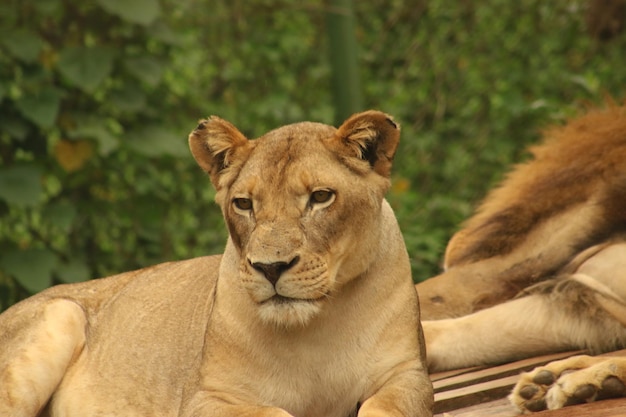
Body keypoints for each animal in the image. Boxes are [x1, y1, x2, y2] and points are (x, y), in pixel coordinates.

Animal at [0, 110, 432, 416]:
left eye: (321, 197)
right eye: (244, 203)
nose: (271, 268)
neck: (315, 329)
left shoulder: (408, 376)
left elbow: (385, 407)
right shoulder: (205, 398)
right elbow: (271, 413)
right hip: (61, 313)